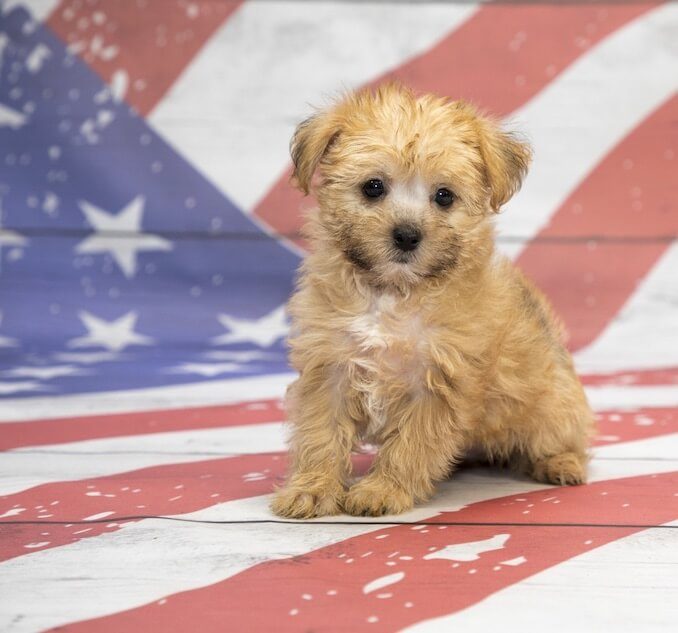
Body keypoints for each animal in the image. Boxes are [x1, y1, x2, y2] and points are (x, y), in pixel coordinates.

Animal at [270, 82, 596, 520]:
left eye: (444, 196)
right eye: (373, 186)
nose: (407, 236)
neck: (392, 296)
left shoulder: (437, 385)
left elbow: (409, 445)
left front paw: (383, 490)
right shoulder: (330, 370)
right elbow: (320, 435)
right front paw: (312, 489)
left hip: (551, 407)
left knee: (564, 439)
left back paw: (561, 464)